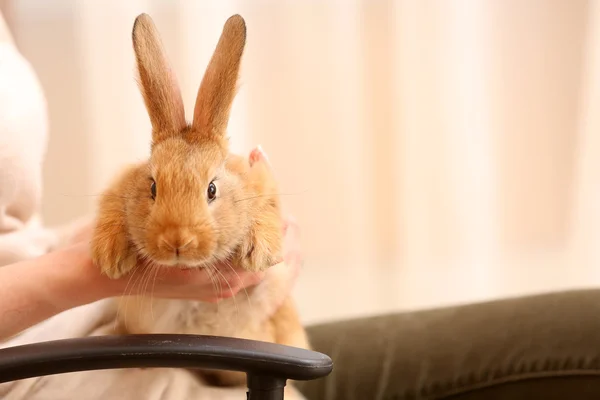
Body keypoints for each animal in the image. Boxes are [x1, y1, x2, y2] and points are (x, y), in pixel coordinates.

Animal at [91, 13, 312, 400]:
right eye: (153, 187)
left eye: (211, 189)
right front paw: (111, 257)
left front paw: (259, 252)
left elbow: (267, 207)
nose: (177, 242)